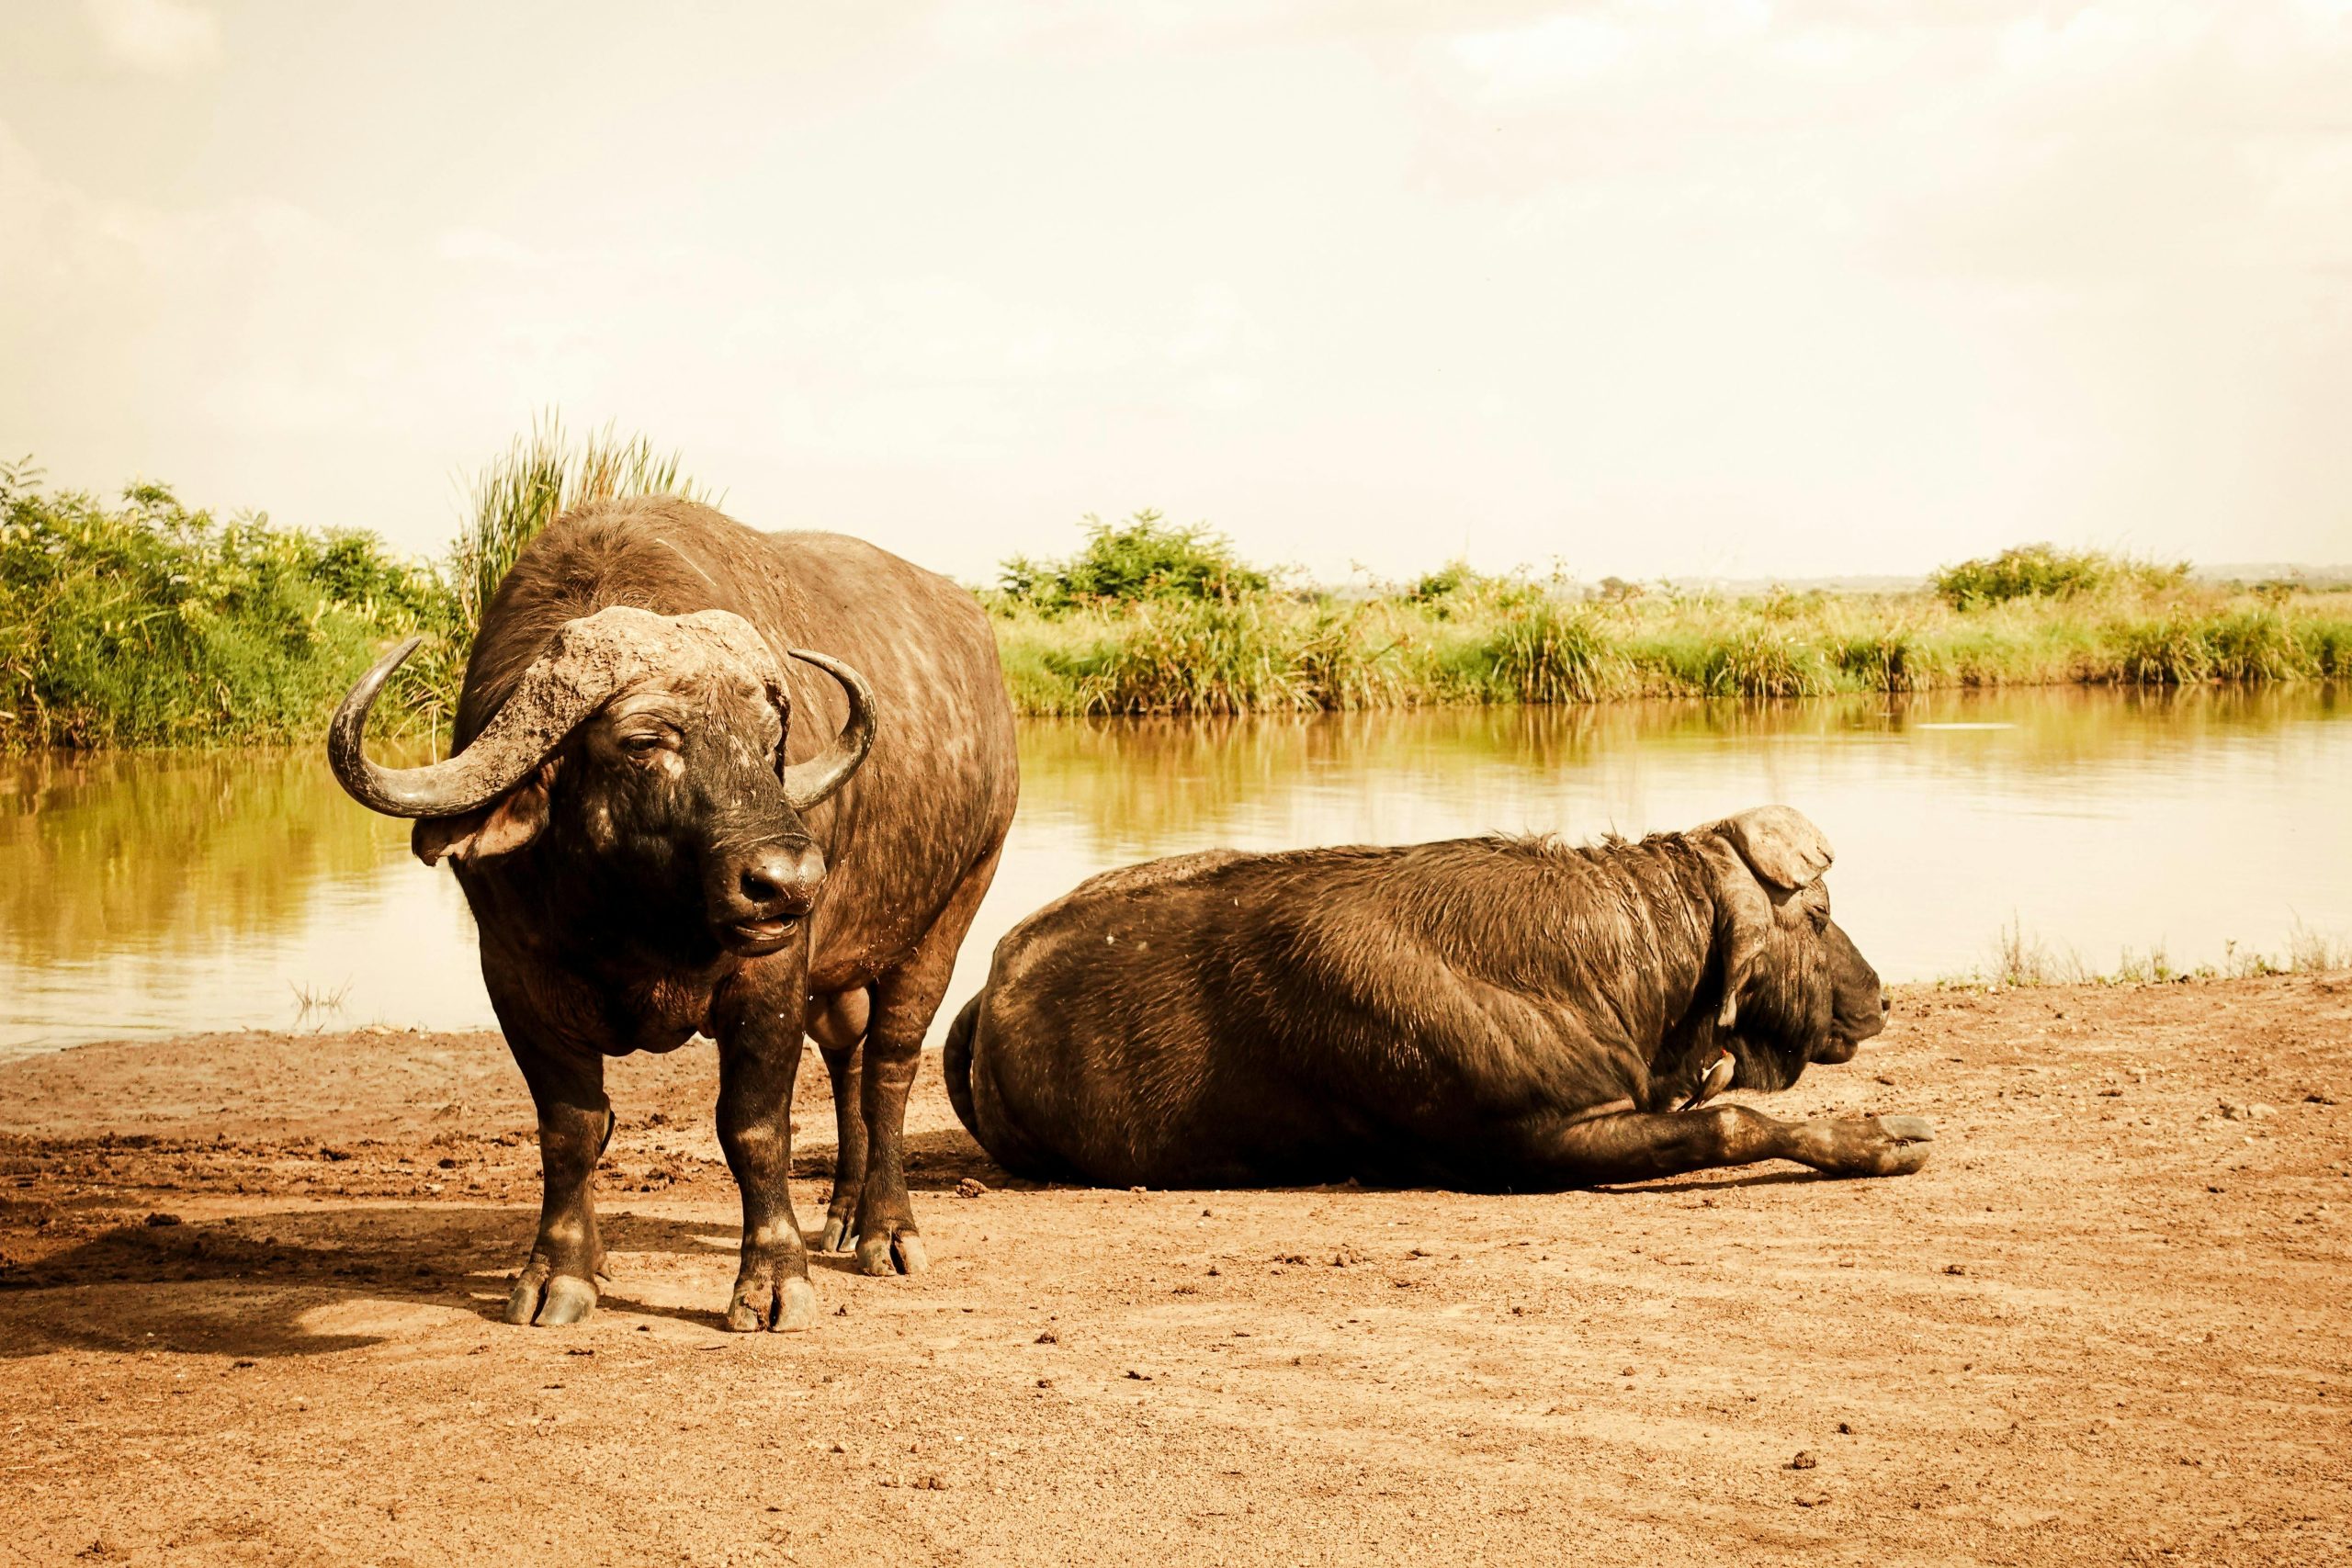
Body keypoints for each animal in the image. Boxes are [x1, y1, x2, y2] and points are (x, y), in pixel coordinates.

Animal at [330, 497, 1018, 1328]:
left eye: (770, 739)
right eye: (644, 739)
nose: (789, 882)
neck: (637, 917)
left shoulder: (772, 974)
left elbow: (754, 1126)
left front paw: (774, 1281)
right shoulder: (515, 974)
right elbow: (571, 1127)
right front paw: (563, 1271)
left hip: (953, 907)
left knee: (889, 1064)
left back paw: (887, 1231)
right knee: (847, 1058)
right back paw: (844, 1215)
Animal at [945, 806, 1932, 1189]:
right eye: (1819, 914)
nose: (1880, 996)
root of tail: (986, 990)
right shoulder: (1536, 1140)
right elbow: (1733, 1123)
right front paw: (1879, 1139)